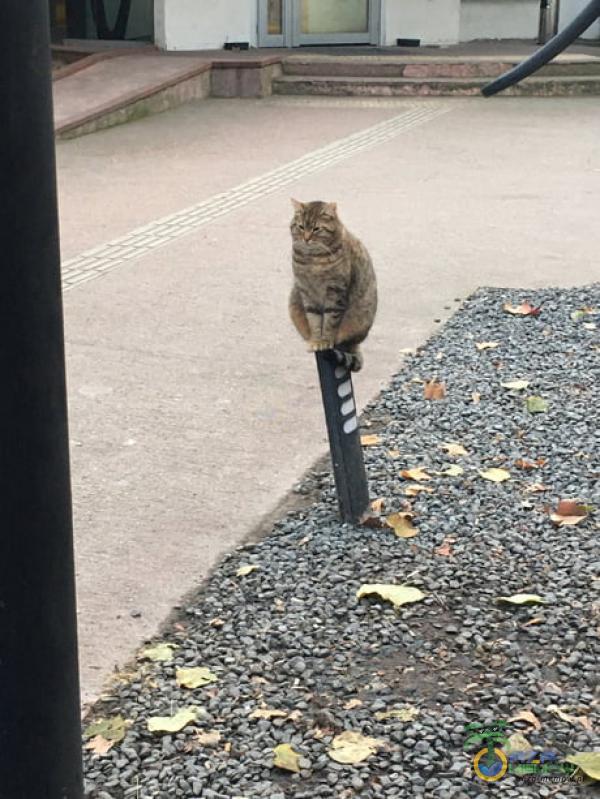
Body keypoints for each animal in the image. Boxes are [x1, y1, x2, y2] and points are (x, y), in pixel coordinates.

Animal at [288, 200, 376, 376]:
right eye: (301, 227)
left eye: (316, 228)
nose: (306, 238)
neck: (312, 260)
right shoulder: (306, 293)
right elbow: (314, 321)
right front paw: (316, 340)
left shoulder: (335, 293)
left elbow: (329, 322)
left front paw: (325, 340)